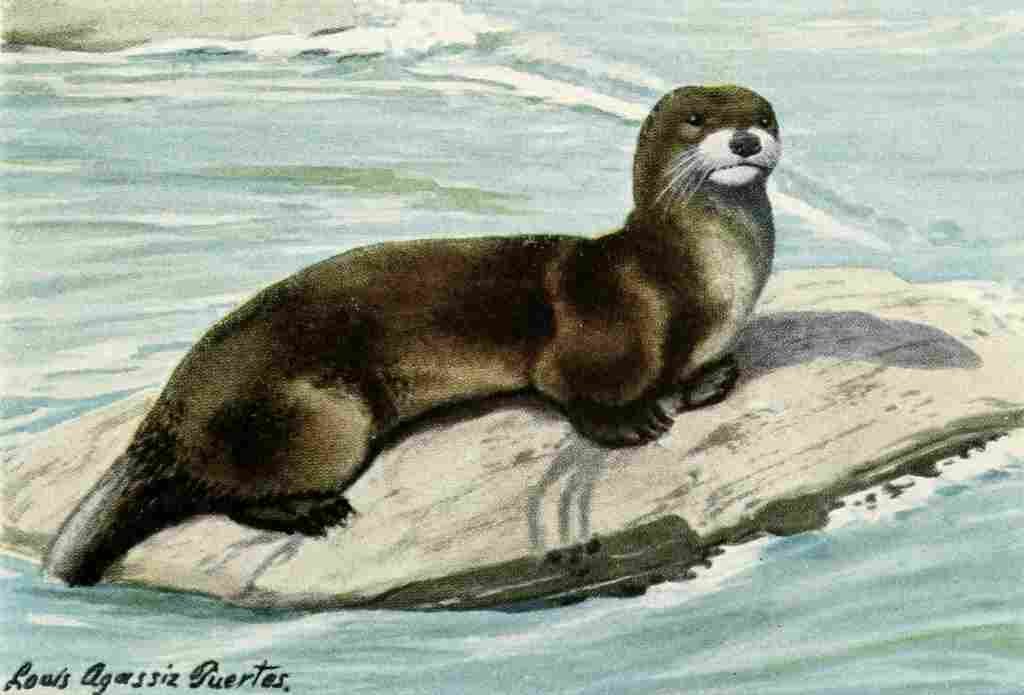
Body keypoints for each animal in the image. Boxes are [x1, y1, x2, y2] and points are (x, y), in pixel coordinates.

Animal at [45, 84, 781, 586]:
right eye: (698, 120)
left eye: (762, 116)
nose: (745, 140)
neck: (700, 277)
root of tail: (166, 417)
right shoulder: (600, 325)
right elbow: (579, 389)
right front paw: (631, 422)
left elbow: (686, 373)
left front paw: (708, 379)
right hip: (320, 417)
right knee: (223, 494)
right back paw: (312, 512)